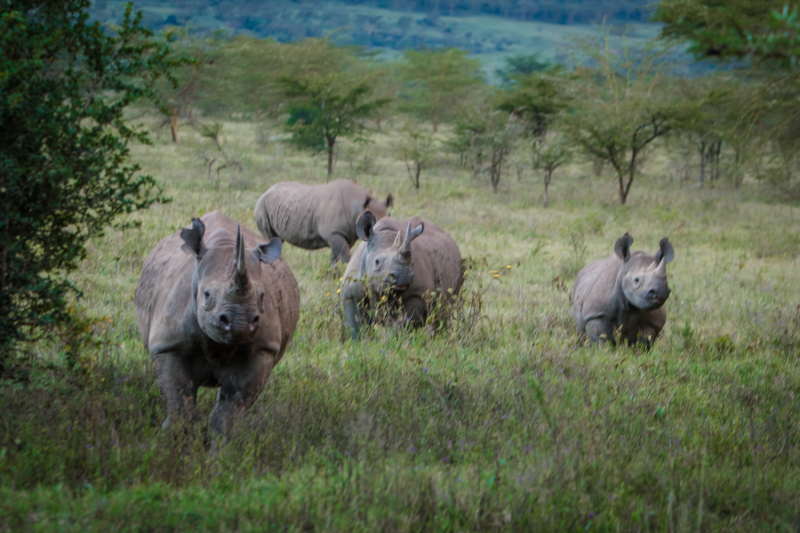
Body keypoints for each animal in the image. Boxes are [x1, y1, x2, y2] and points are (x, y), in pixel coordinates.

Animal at [134, 210, 300, 446]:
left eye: (262, 296)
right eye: (206, 295)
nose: (240, 322)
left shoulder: (262, 349)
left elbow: (229, 412)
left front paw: (220, 452)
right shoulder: (169, 345)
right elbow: (180, 403)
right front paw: (178, 444)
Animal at [255, 179, 392, 262]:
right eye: (370, 226)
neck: (357, 207)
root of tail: (265, 191)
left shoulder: (346, 234)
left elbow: (335, 257)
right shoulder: (334, 232)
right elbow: (345, 256)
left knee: (278, 239)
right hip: (261, 205)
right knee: (269, 237)